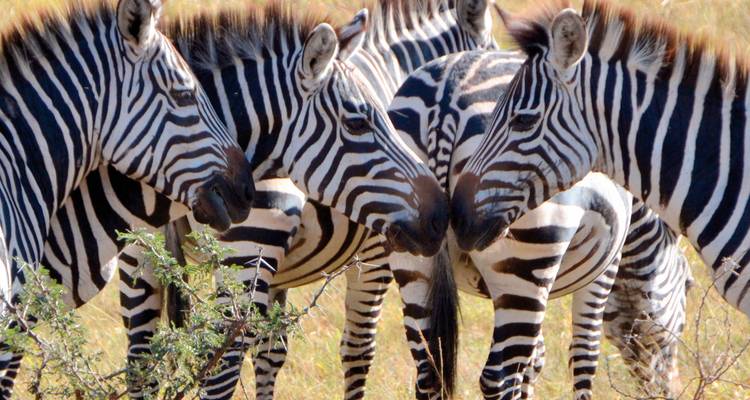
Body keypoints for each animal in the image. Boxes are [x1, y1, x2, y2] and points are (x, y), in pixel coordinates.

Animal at [389, 49, 692, 399]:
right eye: (689, 285)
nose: (671, 390)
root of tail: (447, 95)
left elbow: (535, 359)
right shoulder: (604, 268)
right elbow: (584, 354)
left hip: (413, 251)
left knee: (429, 372)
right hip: (527, 245)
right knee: (497, 377)